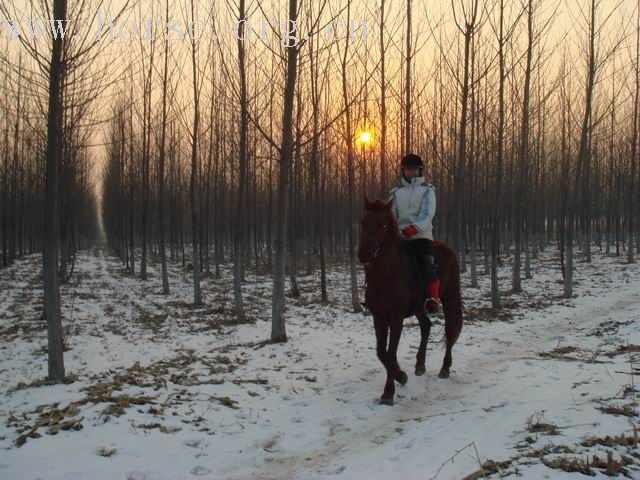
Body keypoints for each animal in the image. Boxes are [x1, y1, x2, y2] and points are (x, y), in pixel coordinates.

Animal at [358, 198, 462, 404]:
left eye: (383, 225)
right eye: (363, 223)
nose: (364, 253)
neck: (386, 275)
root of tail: (448, 249)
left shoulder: (396, 319)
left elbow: (390, 355)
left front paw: (388, 393)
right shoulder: (378, 318)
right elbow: (381, 353)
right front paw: (401, 376)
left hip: (450, 298)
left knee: (449, 330)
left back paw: (445, 368)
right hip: (420, 308)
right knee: (426, 326)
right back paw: (420, 365)